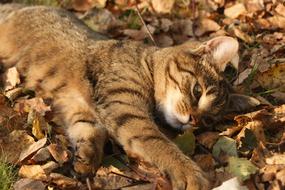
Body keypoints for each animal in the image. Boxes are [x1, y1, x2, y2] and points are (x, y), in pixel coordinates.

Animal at [0, 3, 258, 189]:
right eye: (197, 91)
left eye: (207, 121)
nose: (194, 120)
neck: (147, 64)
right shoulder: (124, 108)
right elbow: (157, 142)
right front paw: (189, 172)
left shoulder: (81, 108)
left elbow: (89, 132)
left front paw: (86, 159)